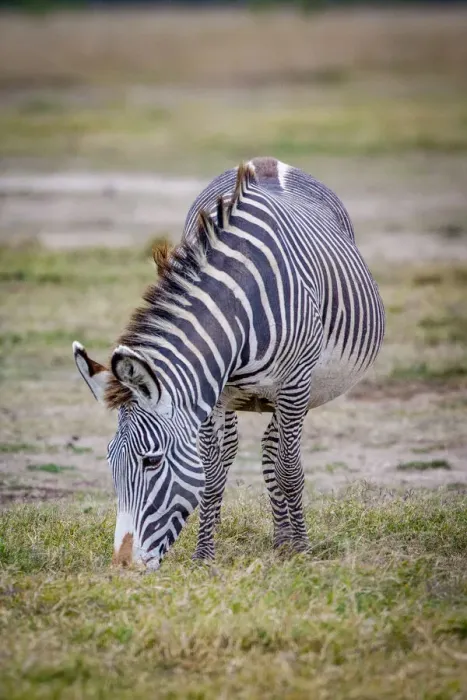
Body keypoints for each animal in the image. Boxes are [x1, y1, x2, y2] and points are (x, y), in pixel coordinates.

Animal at [73, 157, 385, 569]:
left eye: (152, 462)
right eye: (110, 461)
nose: (124, 566)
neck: (240, 306)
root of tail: (268, 162)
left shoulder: (295, 385)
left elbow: (289, 470)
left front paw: (302, 550)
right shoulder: (213, 395)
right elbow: (211, 471)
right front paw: (204, 555)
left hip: (299, 391)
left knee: (276, 453)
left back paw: (286, 541)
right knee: (258, 449)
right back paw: (279, 539)